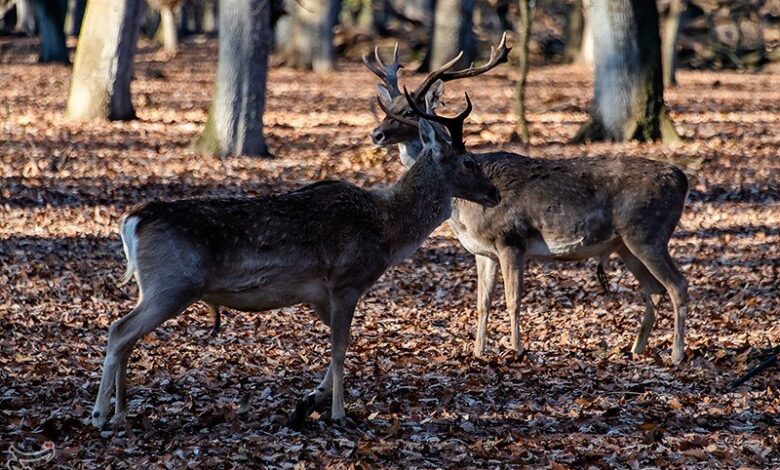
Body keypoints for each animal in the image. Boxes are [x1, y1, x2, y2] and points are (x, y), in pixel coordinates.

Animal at [94, 103, 502, 430]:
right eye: (470, 161)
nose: (495, 193)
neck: (386, 231)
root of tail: (133, 219)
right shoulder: (347, 282)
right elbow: (339, 349)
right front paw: (337, 414)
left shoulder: (318, 295)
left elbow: (339, 346)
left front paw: (308, 402)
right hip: (172, 284)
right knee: (119, 330)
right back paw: (99, 414)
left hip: (156, 287)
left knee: (127, 335)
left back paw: (121, 413)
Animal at [368, 43, 692, 364]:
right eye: (390, 107)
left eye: (408, 111)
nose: (376, 134)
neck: (463, 214)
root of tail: (682, 178)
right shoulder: (482, 252)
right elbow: (483, 303)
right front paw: (478, 351)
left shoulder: (511, 240)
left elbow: (513, 301)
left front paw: (516, 350)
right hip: (625, 244)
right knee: (654, 290)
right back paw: (635, 350)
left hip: (648, 233)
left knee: (678, 285)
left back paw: (676, 354)